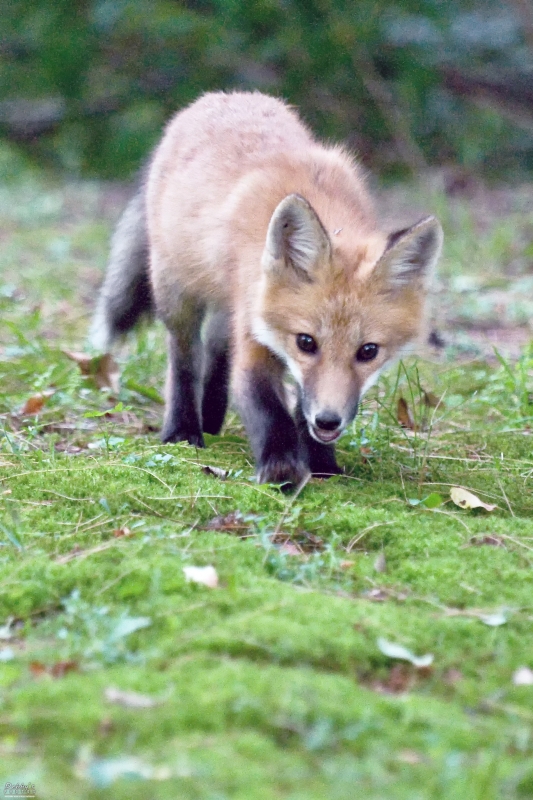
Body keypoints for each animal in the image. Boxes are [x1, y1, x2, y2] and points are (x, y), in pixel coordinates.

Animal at [90, 91, 443, 486]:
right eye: (306, 342)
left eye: (368, 351)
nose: (328, 421)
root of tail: (221, 96)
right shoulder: (255, 332)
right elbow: (265, 405)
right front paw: (282, 469)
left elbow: (296, 400)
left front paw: (321, 462)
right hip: (175, 290)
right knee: (185, 357)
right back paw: (184, 430)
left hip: (226, 306)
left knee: (217, 351)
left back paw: (211, 419)